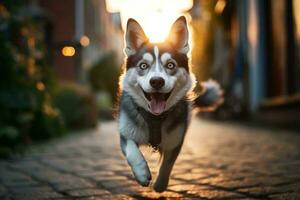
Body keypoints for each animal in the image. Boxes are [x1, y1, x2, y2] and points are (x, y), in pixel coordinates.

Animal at [118, 16, 221, 192]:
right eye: (143, 65)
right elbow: (132, 150)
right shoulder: (125, 131)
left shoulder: (176, 140)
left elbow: (168, 163)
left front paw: (160, 184)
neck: (155, 118)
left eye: (170, 65)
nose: (157, 81)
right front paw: (141, 173)